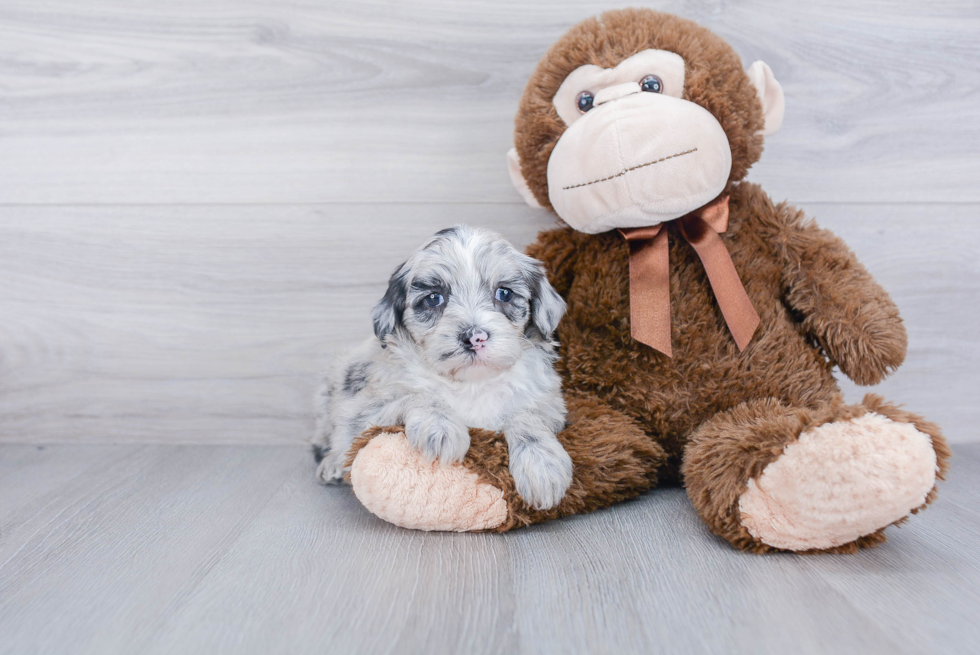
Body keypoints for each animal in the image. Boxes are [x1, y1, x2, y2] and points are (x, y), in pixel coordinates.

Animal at [312, 226, 576, 512]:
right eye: (433, 298)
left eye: (504, 293)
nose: (475, 337)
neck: (472, 383)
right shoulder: (364, 411)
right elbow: (419, 395)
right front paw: (440, 427)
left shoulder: (551, 406)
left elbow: (525, 415)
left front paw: (542, 465)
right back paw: (332, 465)